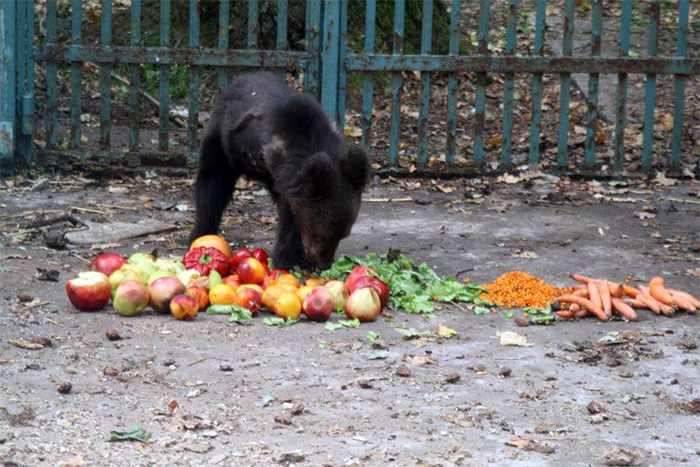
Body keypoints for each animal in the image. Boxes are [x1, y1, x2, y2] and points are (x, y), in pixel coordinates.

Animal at [189, 72, 370, 272]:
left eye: (342, 235)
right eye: (321, 235)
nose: (323, 264)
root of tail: (239, 80)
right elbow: (291, 217)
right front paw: (291, 259)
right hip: (223, 141)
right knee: (212, 184)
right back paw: (200, 232)